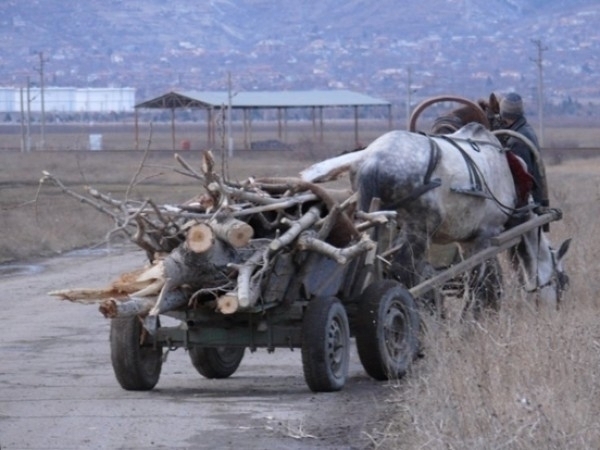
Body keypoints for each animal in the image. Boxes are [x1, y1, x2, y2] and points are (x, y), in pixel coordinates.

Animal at [354, 121, 568, 314]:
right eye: (563, 282)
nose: (557, 312)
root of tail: (374, 160)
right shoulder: (486, 235)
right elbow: (476, 280)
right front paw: (469, 321)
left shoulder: (467, 241)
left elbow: (482, 279)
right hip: (420, 230)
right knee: (404, 274)